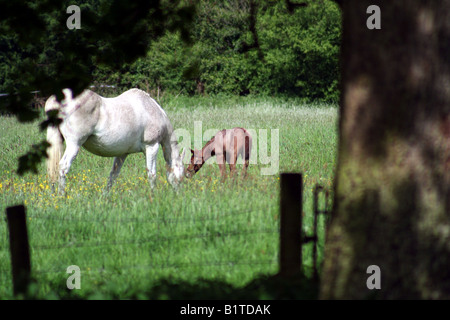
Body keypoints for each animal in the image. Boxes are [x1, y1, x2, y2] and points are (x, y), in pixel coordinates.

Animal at [44, 87, 185, 192]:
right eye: (181, 176)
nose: (178, 194)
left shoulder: (122, 153)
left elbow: (113, 175)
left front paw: (105, 197)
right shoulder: (152, 146)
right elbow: (152, 174)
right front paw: (153, 195)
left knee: (52, 169)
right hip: (74, 144)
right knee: (63, 167)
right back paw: (62, 195)